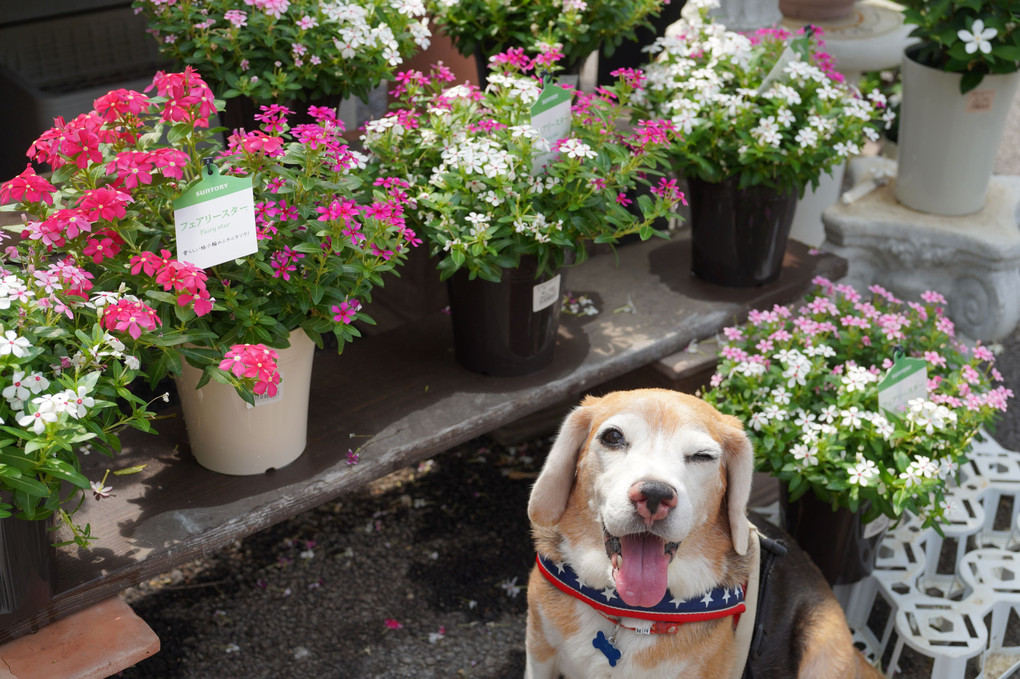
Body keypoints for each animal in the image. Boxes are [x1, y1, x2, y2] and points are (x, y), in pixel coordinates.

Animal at [526, 389, 885, 676]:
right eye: (613, 437)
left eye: (702, 456)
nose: (654, 494)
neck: (627, 614)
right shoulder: (539, 653)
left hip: (823, 651)